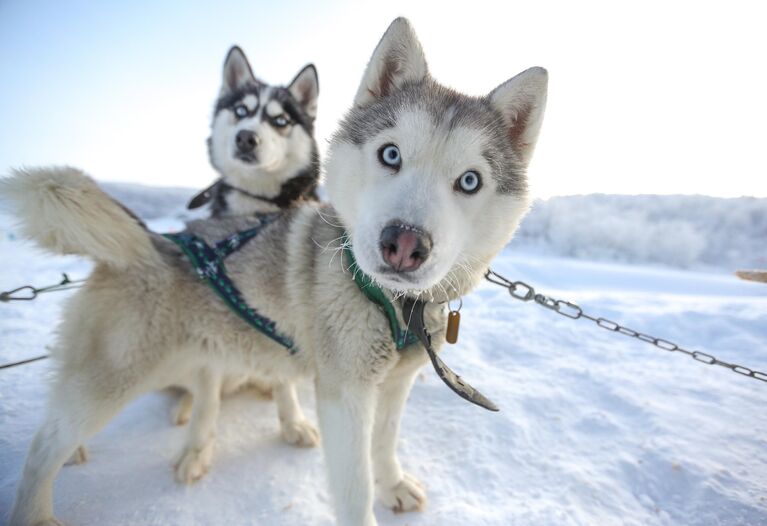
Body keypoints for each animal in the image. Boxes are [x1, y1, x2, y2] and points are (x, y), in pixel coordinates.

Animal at [4, 17, 544, 526]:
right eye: (390, 153)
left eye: (469, 181)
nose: (405, 243)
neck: (391, 305)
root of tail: (149, 240)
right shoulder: (344, 395)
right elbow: (355, 490)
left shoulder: (394, 384)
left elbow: (385, 444)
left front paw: (392, 485)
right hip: (114, 377)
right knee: (43, 443)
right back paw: (40, 504)